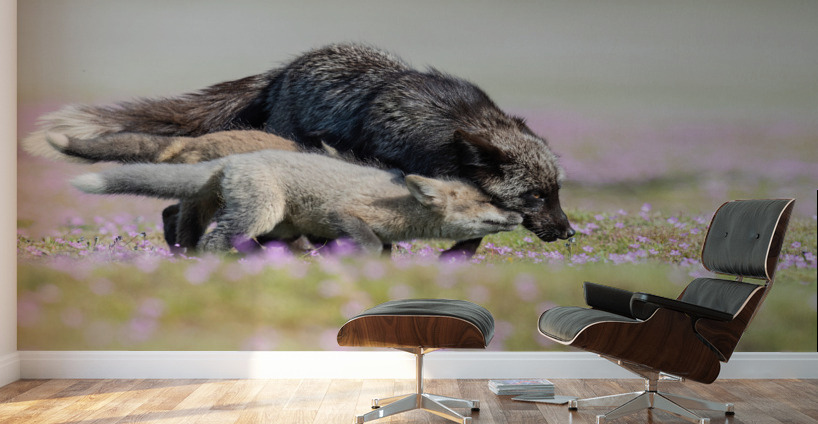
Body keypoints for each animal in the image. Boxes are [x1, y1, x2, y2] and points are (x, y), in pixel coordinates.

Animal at [24, 43, 574, 256]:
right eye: (534, 196)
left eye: (555, 192)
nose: (570, 233)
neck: (444, 126)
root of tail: (281, 71)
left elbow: (468, 240)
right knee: (177, 211)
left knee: (174, 210)